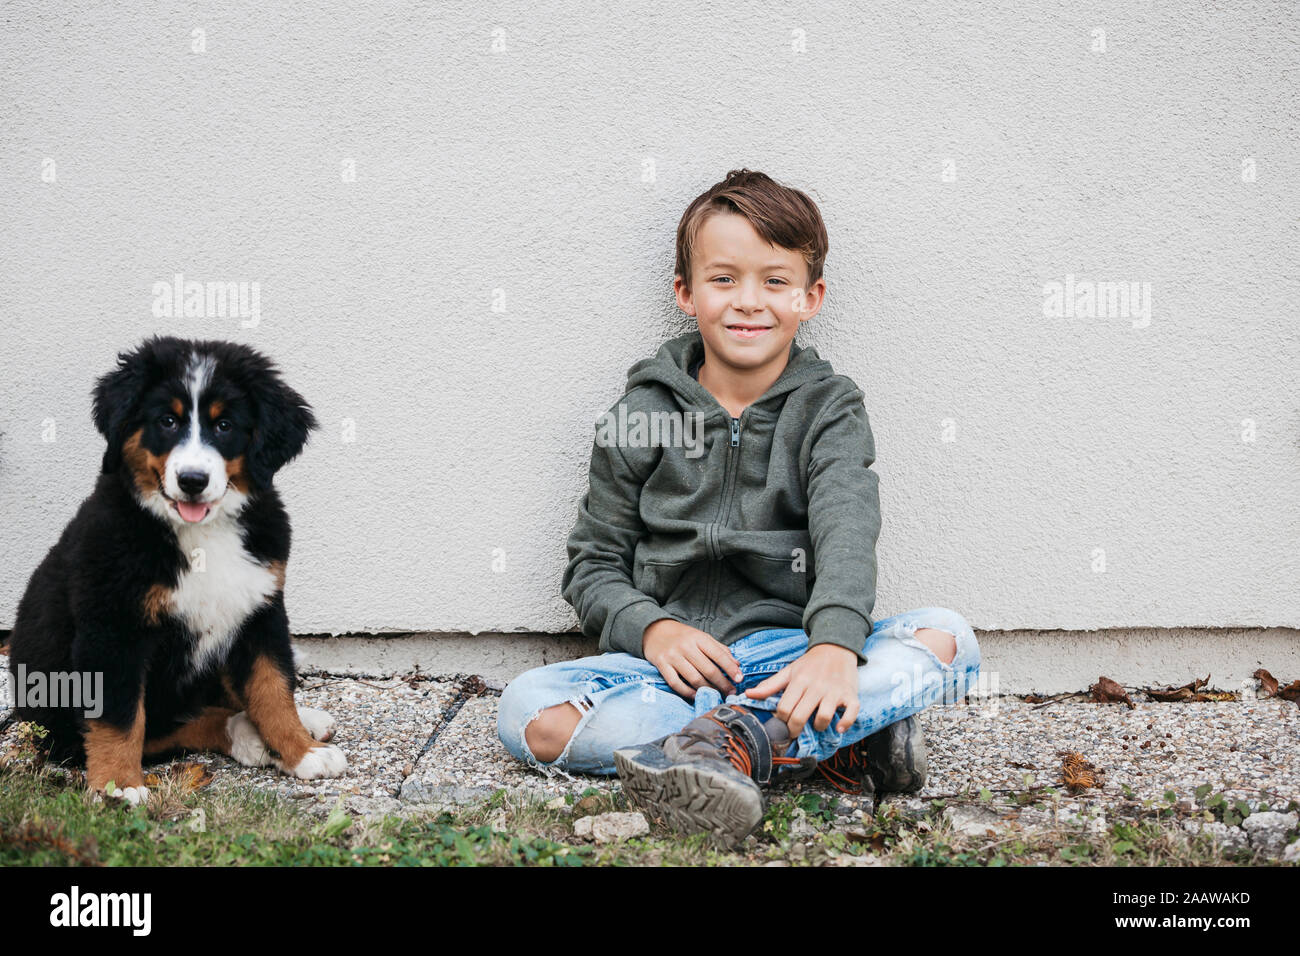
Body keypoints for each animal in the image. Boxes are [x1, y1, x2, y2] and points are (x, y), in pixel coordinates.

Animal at [5, 335, 348, 801]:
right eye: (167, 421)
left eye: (224, 426)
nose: (192, 480)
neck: (203, 533)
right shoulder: (113, 628)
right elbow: (120, 717)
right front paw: (118, 787)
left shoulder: (260, 608)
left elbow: (272, 688)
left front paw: (301, 751)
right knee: (173, 725)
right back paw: (245, 736)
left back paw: (302, 722)